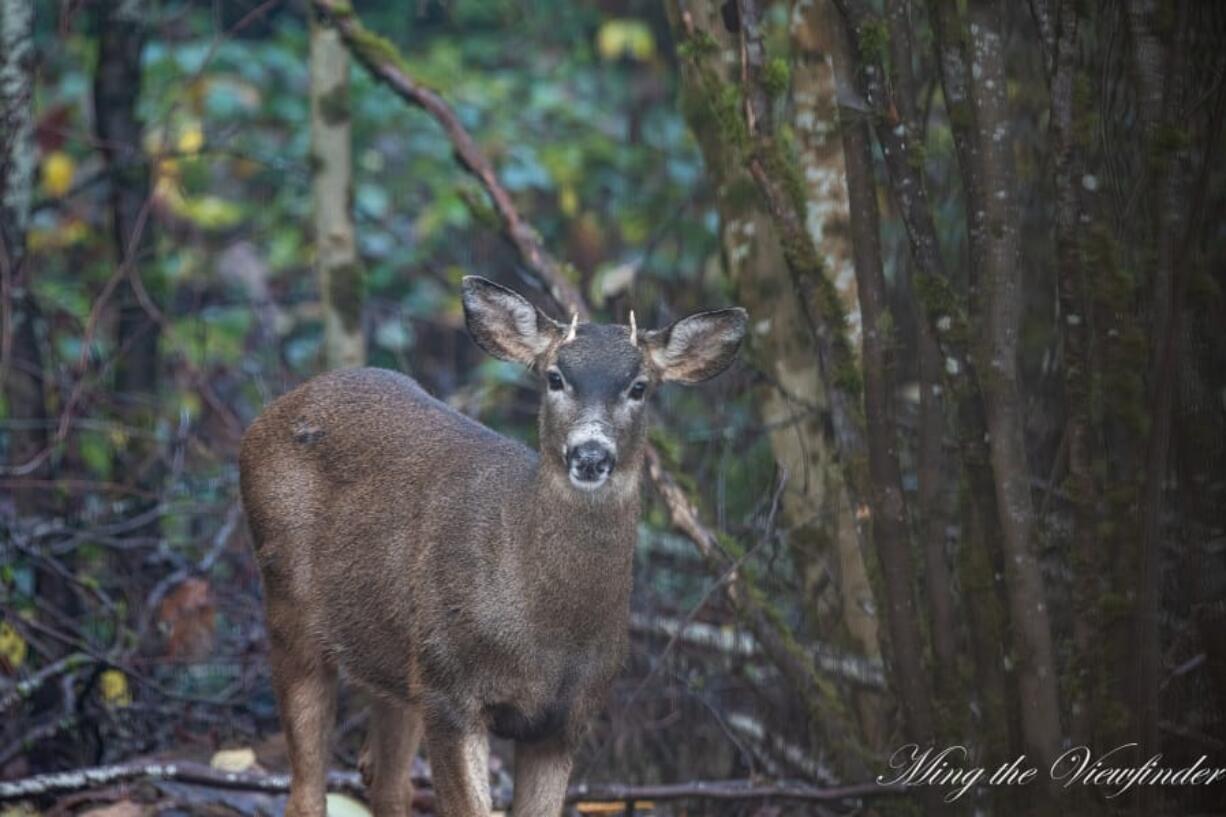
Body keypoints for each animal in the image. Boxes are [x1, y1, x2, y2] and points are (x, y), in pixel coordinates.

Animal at [236, 274, 745, 814]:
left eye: (639, 387)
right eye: (555, 377)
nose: (590, 454)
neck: (546, 635)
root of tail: (270, 414)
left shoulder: (567, 718)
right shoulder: (450, 691)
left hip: (399, 654)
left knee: (386, 780)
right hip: (290, 604)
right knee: (307, 788)